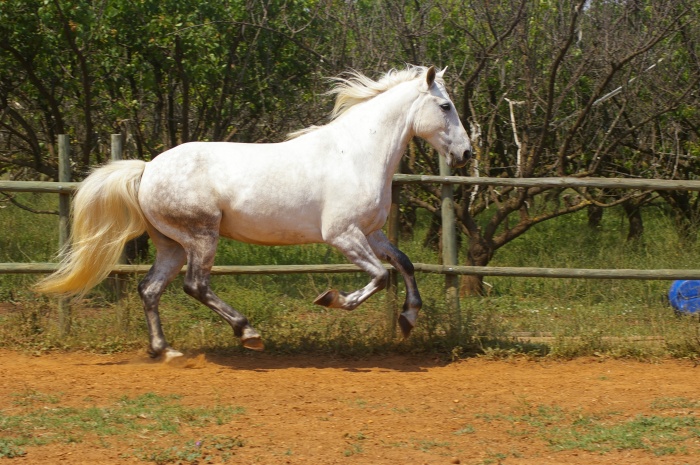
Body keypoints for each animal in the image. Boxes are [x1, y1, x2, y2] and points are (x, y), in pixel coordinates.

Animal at [35, 64, 474, 358]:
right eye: (445, 105)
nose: (467, 153)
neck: (357, 154)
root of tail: (146, 170)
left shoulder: (371, 232)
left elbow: (404, 264)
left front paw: (408, 319)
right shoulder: (342, 234)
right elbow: (381, 277)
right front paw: (330, 299)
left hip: (171, 244)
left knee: (150, 289)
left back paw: (165, 350)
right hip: (201, 236)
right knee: (195, 286)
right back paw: (247, 333)